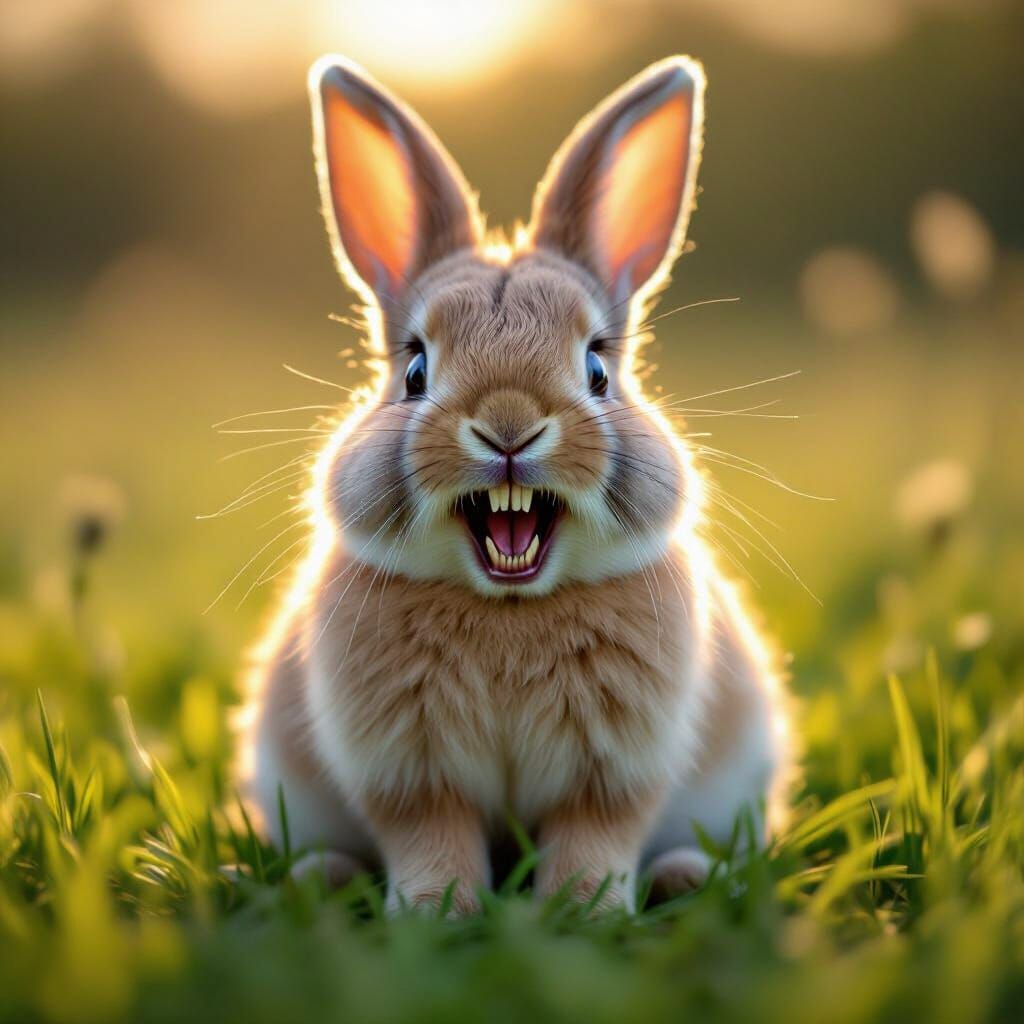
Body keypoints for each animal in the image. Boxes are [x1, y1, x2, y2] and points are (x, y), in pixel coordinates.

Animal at [236, 54, 794, 914]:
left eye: (597, 369)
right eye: (415, 370)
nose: (508, 424)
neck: (508, 608)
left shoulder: (612, 776)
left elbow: (594, 838)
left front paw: (582, 911)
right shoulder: (411, 776)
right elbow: (432, 838)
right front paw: (437, 912)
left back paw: (686, 877)